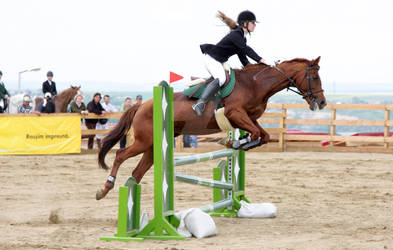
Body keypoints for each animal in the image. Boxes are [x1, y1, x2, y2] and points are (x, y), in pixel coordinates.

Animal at [96, 56, 326, 199]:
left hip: (154, 146)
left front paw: (236, 143)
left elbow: (263, 135)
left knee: (138, 170)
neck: (255, 84)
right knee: (120, 154)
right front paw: (232, 142)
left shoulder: (249, 118)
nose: (322, 102)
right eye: (314, 77)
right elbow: (256, 134)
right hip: (145, 140)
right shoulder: (235, 114)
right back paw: (105, 188)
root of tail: (141, 105)